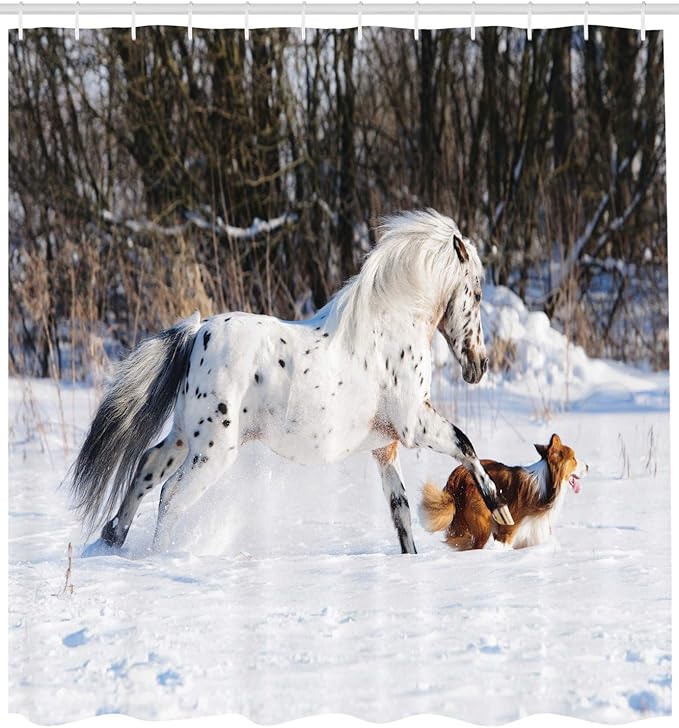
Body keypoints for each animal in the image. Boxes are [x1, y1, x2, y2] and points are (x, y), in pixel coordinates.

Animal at [71, 209, 513, 555]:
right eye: (475, 293)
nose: (479, 365)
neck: (388, 328)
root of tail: (198, 334)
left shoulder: (384, 447)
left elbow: (400, 513)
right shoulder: (414, 424)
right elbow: (465, 444)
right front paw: (501, 510)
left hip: (183, 437)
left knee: (147, 469)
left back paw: (112, 540)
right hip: (213, 451)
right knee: (172, 496)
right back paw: (160, 557)